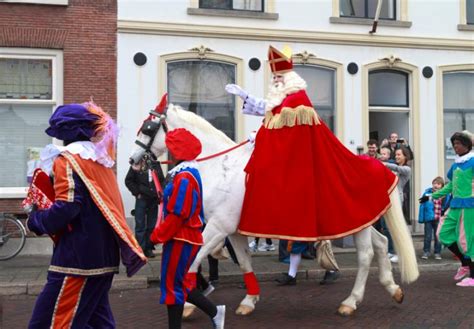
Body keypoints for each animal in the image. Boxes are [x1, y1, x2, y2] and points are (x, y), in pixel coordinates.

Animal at [131, 104, 420, 316]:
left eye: (148, 128)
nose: (133, 159)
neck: (220, 166)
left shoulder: (218, 227)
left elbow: (194, 259)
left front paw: (190, 304)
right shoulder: (232, 231)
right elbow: (243, 261)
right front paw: (249, 300)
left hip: (355, 223)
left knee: (366, 254)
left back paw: (350, 301)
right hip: (360, 221)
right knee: (381, 243)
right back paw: (392, 289)